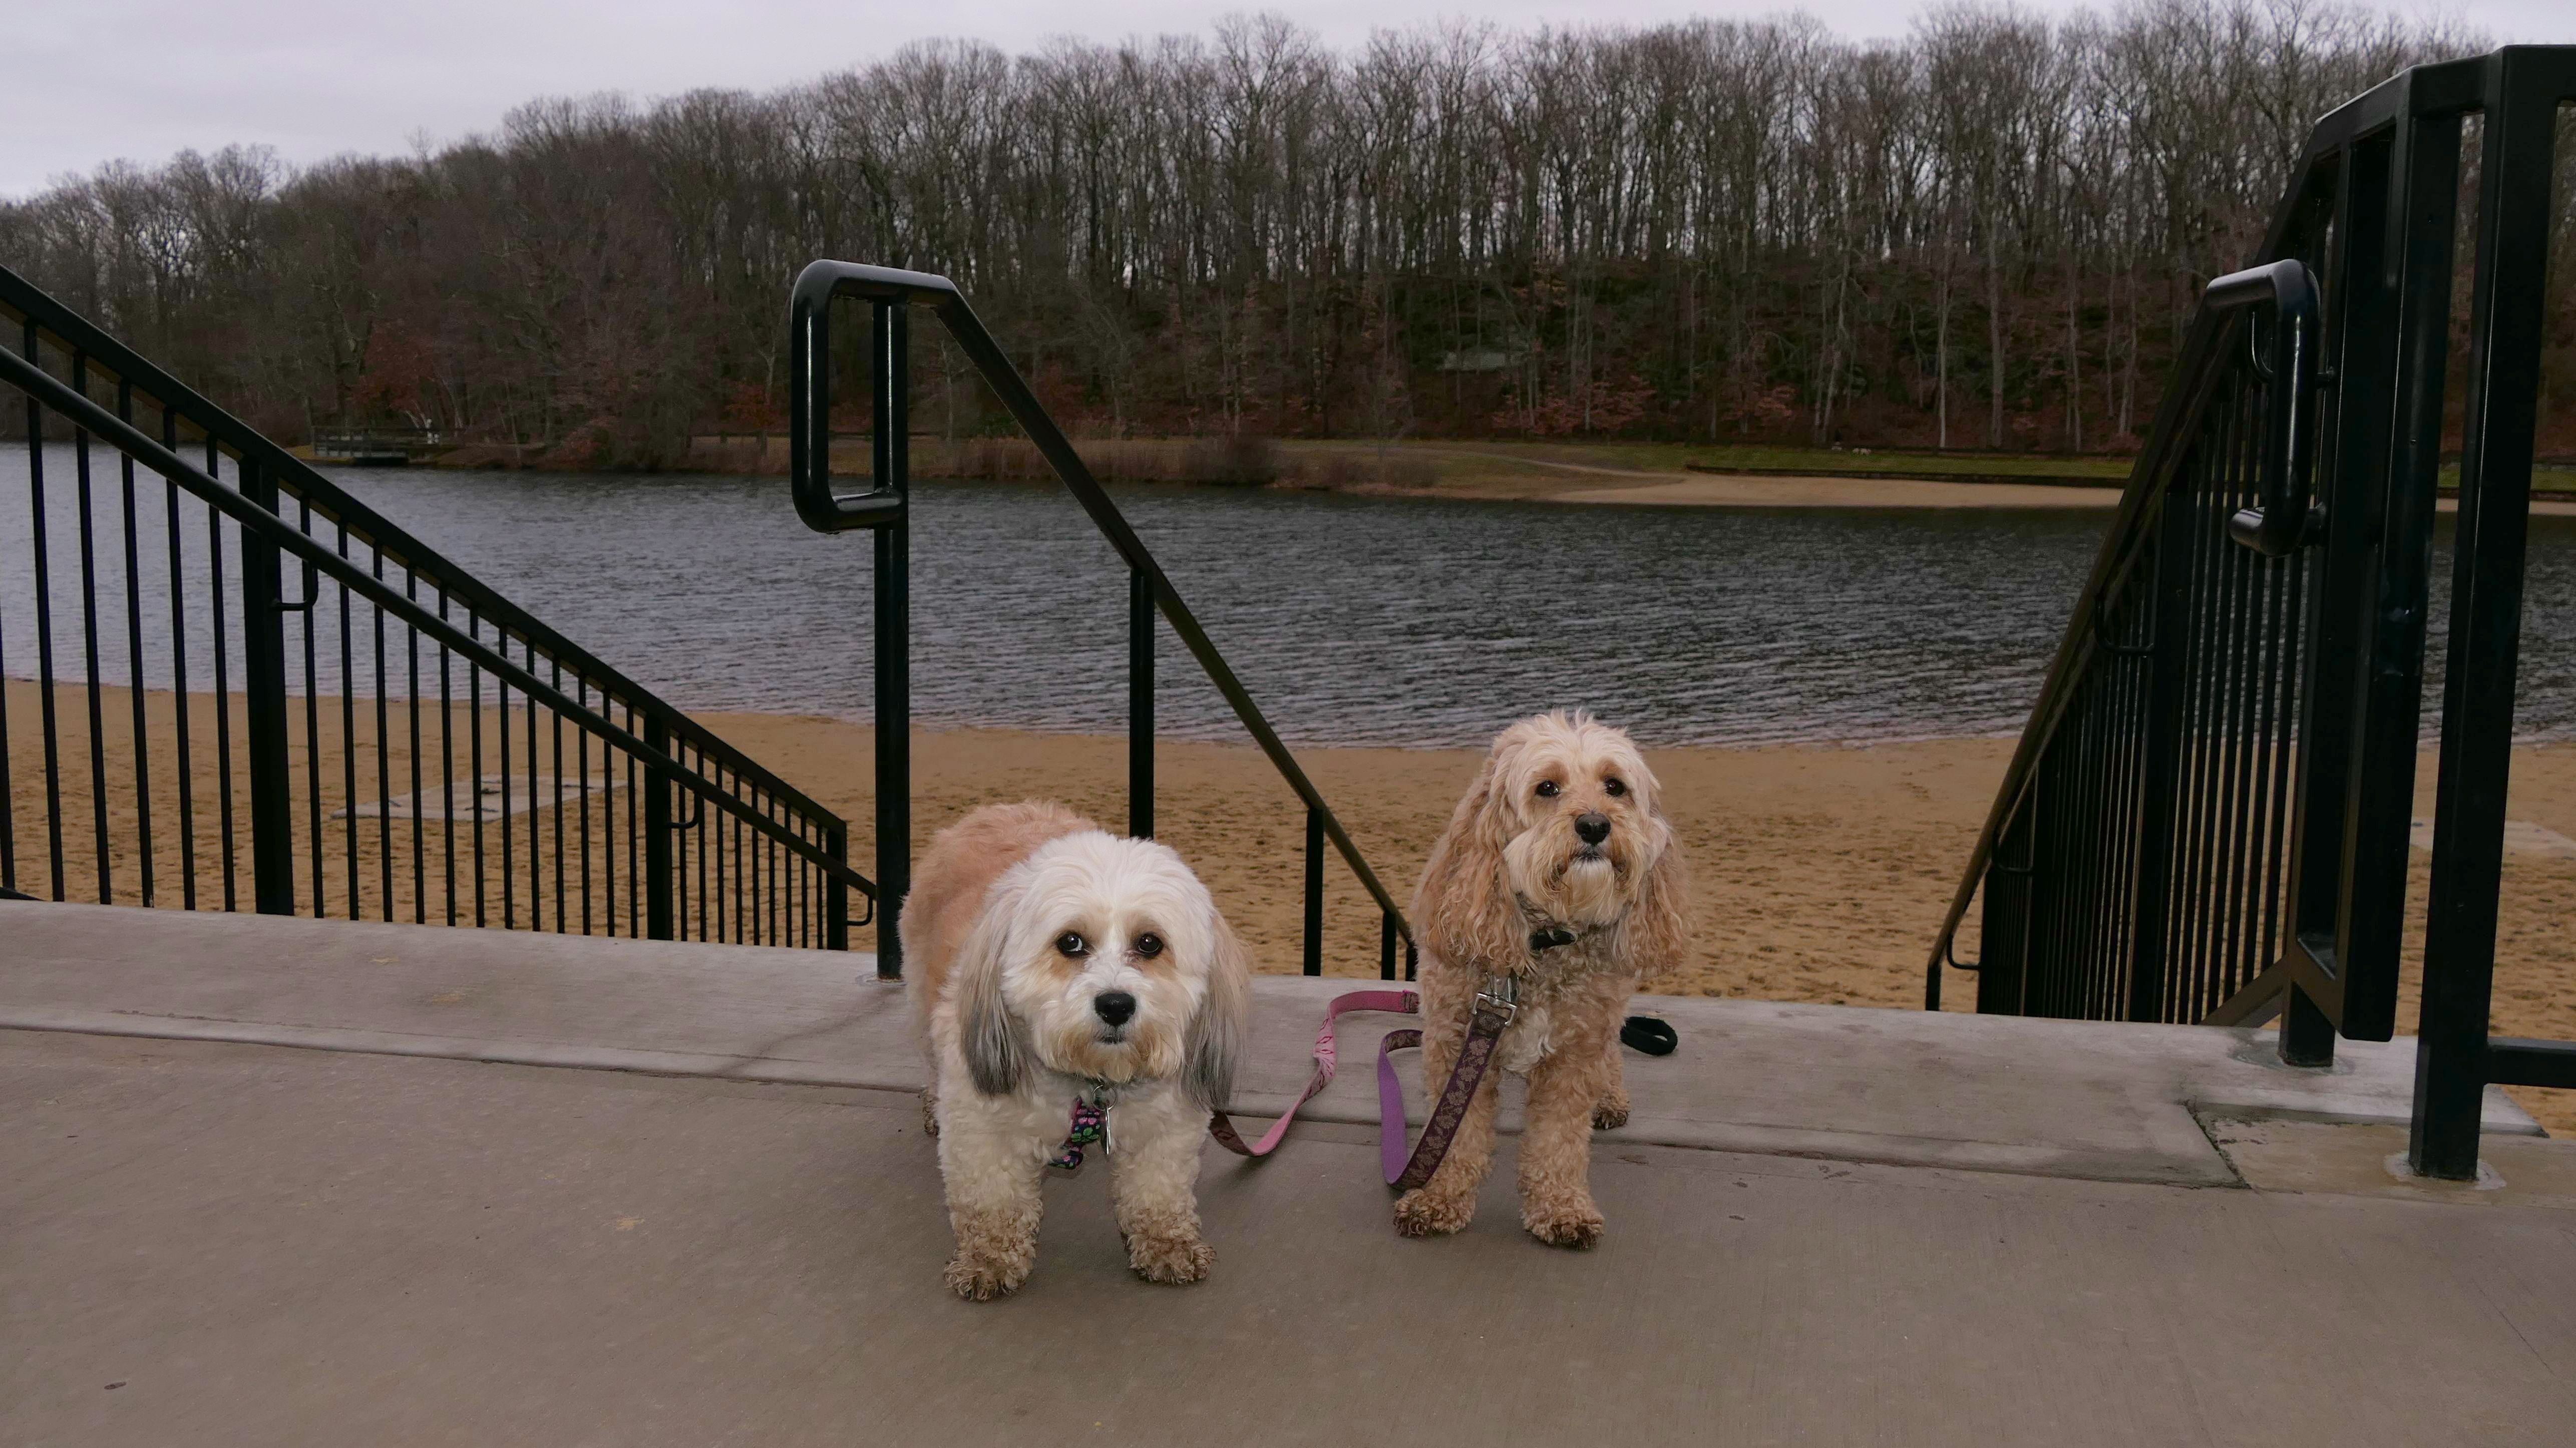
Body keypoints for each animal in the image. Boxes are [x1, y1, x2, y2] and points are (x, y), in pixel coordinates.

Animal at [902, 801, 1250, 1299]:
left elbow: (1158, 1192)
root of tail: (997, 809)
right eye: (1070, 942)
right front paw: (989, 1259)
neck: (1090, 1082)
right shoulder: (980, 1126)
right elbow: (993, 1200)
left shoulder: (1166, 1129)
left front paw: (1167, 1246)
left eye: (1150, 943)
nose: (1115, 1005)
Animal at [1396, 711, 1689, 1248]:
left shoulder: (1573, 1055)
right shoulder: (1455, 1042)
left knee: (1611, 1053)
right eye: (1547, 787)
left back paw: (1609, 1098)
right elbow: (1454, 1131)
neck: (1543, 941)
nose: (1594, 824)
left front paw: (1559, 1207)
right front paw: (1440, 1198)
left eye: (1614, 786)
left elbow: (1558, 1141)